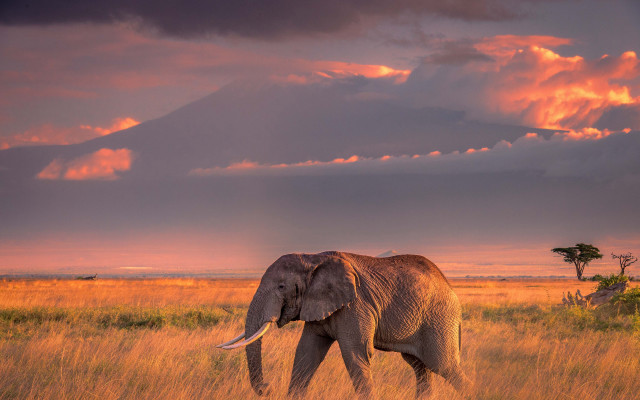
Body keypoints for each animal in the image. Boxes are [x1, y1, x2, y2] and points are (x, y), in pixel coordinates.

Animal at [217, 251, 470, 398]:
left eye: (281, 286)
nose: (266, 388)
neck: (313, 258)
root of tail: (450, 287)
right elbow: (307, 353)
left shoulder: (355, 305)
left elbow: (355, 354)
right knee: (420, 367)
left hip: (439, 319)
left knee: (444, 365)